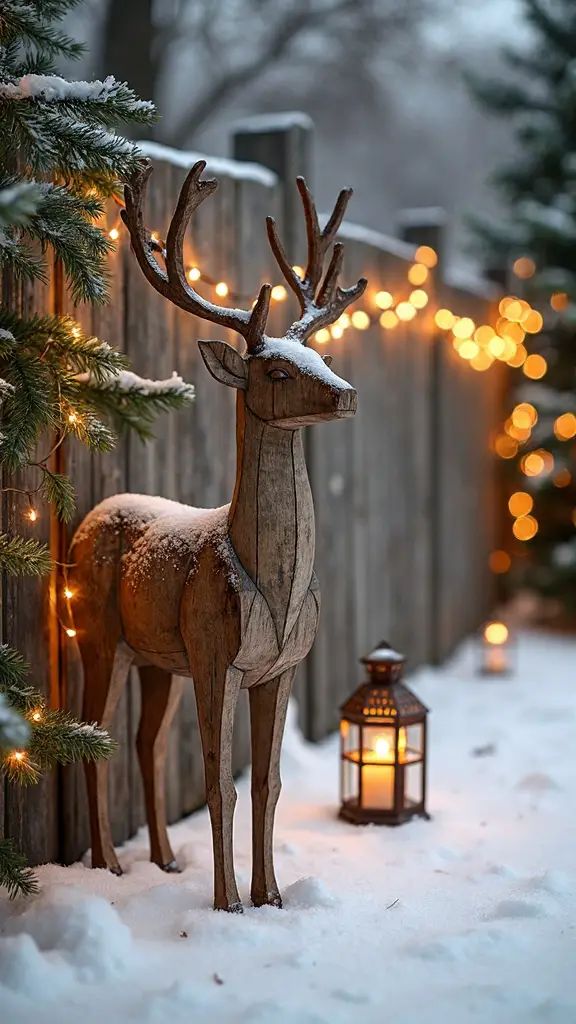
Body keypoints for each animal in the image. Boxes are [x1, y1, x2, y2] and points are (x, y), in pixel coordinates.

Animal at [69, 158, 367, 912]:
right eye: (277, 369)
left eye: (316, 354)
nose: (347, 393)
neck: (276, 584)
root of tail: (92, 513)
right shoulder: (215, 653)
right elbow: (217, 782)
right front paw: (228, 903)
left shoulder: (280, 667)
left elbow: (268, 783)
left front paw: (272, 897)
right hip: (100, 634)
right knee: (96, 735)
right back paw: (109, 865)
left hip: (157, 657)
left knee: (145, 743)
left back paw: (166, 859)